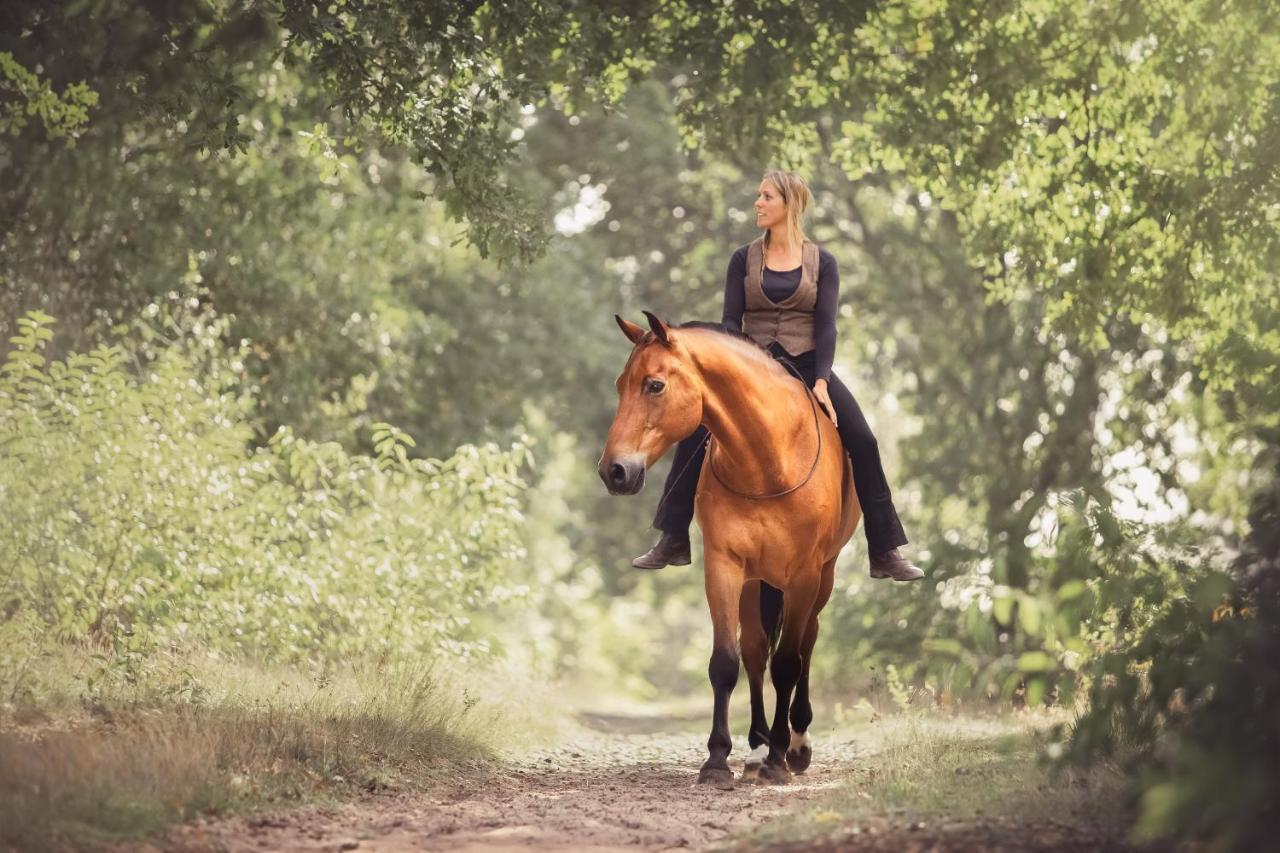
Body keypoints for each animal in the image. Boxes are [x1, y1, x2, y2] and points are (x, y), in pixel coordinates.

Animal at [596, 311, 860, 783]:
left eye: (654, 385)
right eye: (620, 384)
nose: (614, 471)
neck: (768, 461)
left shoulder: (804, 575)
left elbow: (788, 663)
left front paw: (778, 758)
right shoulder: (724, 565)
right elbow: (725, 661)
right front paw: (718, 759)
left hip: (823, 578)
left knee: (806, 643)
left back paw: (795, 745)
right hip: (756, 580)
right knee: (754, 650)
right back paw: (757, 746)